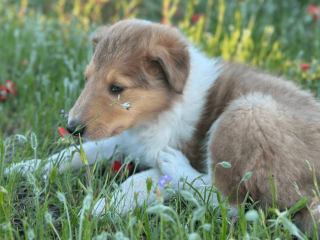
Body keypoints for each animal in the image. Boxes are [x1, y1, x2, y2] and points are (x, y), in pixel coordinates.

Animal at [5, 19, 320, 236]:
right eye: (87, 78)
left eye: (117, 87)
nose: (71, 128)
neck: (161, 112)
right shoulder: (124, 137)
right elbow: (75, 153)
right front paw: (20, 168)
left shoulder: (155, 153)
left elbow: (136, 181)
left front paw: (93, 211)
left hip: (246, 111)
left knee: (230, 202)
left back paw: (179, 168)